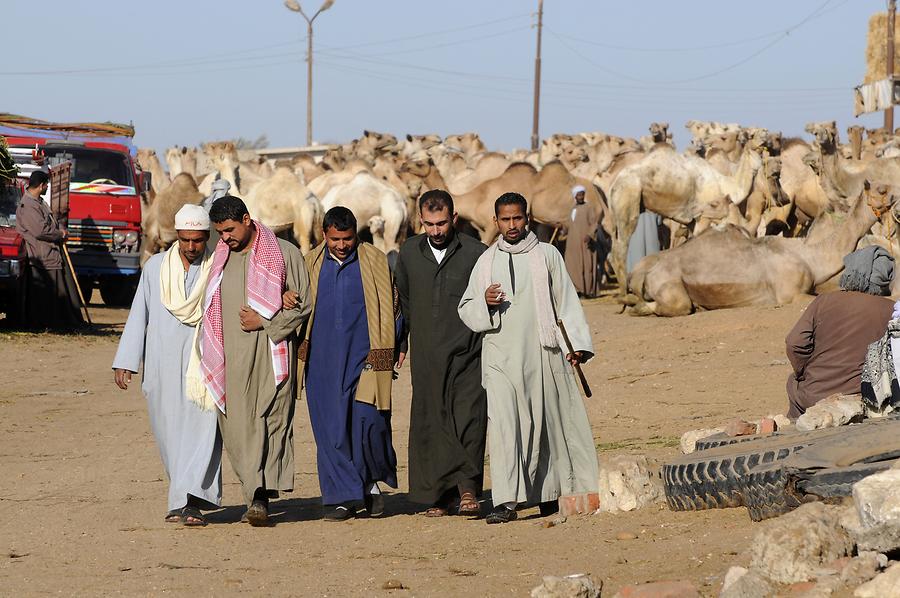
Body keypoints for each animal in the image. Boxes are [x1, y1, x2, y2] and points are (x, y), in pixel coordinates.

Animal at [628, 184, 888, 318]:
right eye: (881, 190)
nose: (893, 198)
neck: (810, 258)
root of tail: (647, 273)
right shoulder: (790, 294)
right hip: (668, 284)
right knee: (676, 306)